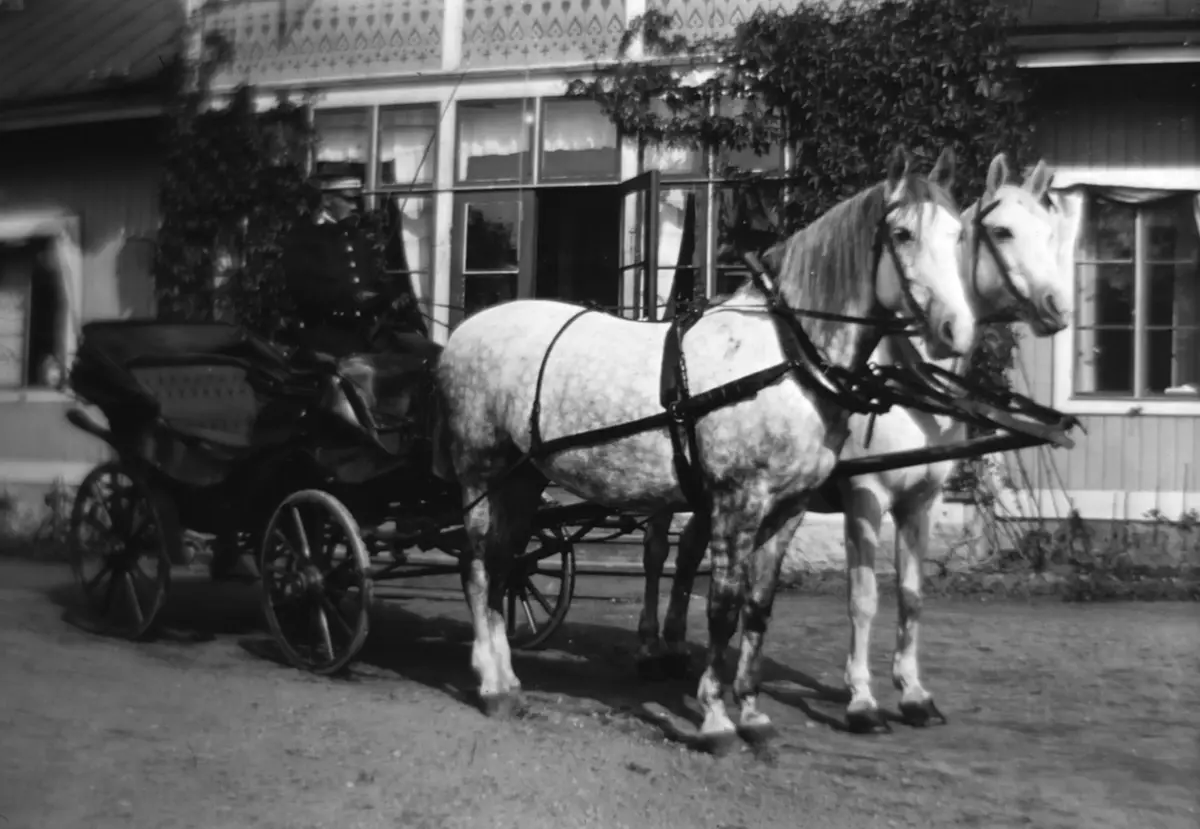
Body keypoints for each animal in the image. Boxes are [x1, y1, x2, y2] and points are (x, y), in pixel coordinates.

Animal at [431, 144, 976, 753]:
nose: (956, 330)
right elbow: (721, 608)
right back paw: (491, 683)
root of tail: (461, 334)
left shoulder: (788, 508)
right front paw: (716, 718)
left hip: (523, 480)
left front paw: (752, 713)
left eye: (959, 234)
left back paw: (507, 677)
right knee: (481, 568)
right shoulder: (740, 501)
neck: (787, 357)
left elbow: (757, 610)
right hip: (482, 475)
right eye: (902, 233)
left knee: (502, 565)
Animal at [632, 153, 1083, 735]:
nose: (1057, 308)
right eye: (1002, 231)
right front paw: (862, 699)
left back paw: (674, 643)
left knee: (689, 552)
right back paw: (649, 645)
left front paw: (913, 692)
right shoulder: (865, 496)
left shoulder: (920, 501)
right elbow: (864, 596)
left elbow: (911, 596)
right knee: (658, 549)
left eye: (1052, 231)